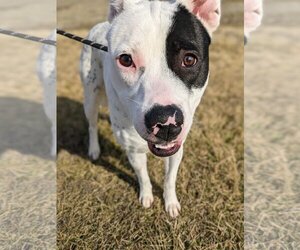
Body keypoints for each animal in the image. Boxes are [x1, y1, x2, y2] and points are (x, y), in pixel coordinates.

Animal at [81, 0, 221, 217]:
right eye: (126, 60)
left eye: (189, 59)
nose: (167, 122)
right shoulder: (132, 149)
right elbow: (143, 176)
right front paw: (146, 196)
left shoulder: (177, 148)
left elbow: (170, 179)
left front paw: (170, 203)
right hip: (91, 96)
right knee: (93, 124)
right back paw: (94, 149)